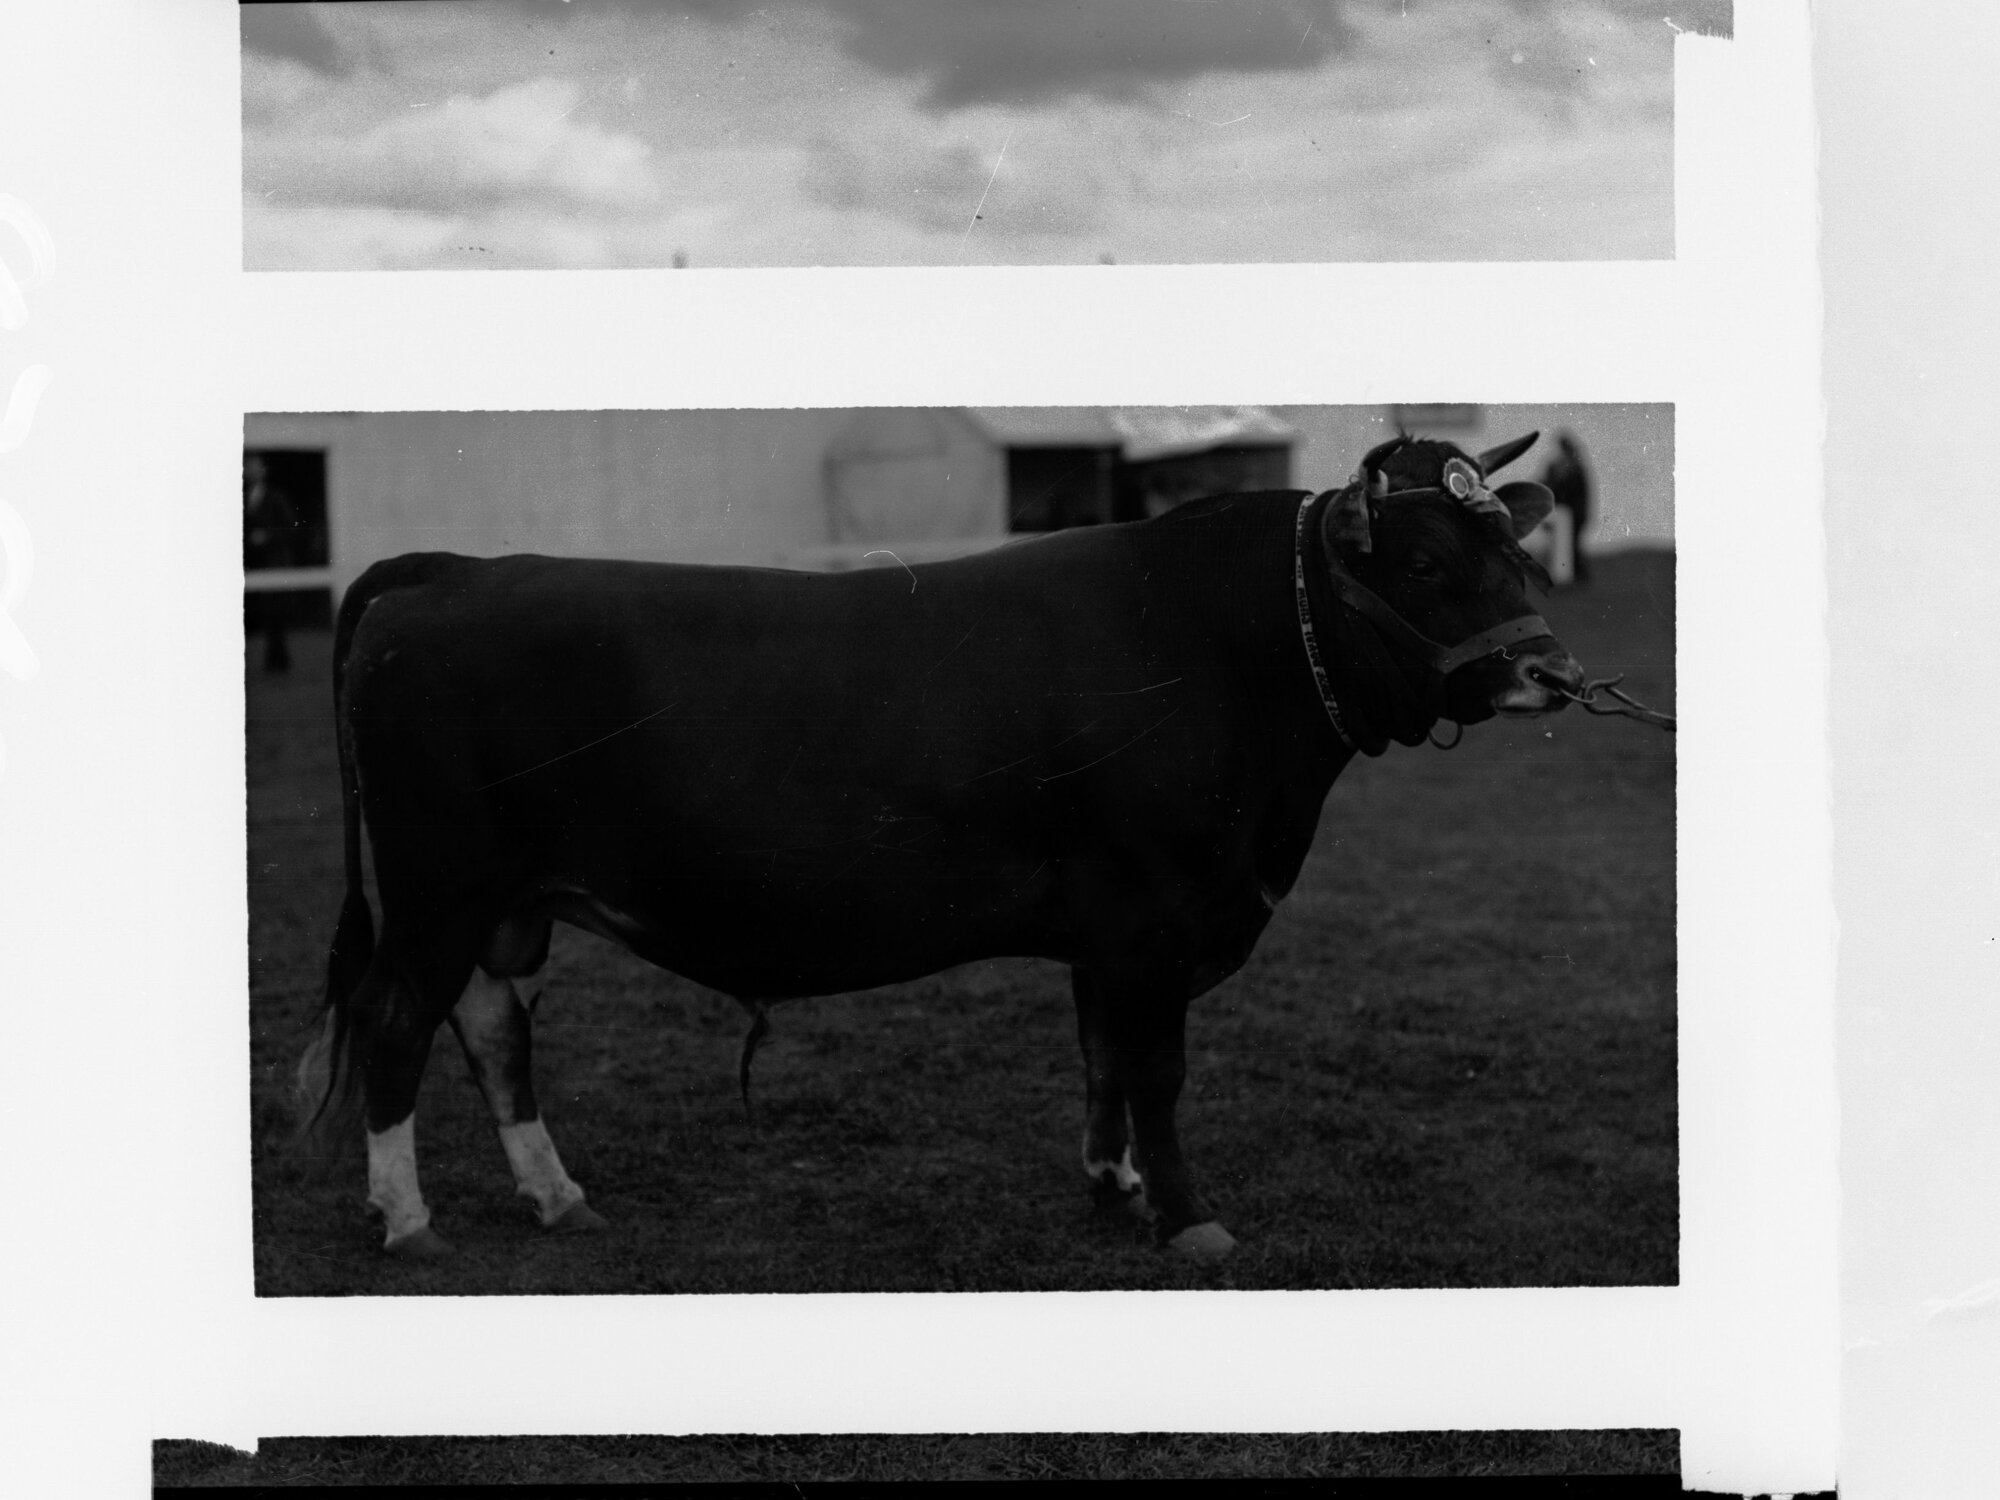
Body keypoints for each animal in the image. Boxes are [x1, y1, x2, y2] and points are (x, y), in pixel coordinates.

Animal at [295, 432, 1586, 1263]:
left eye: (1514, 557)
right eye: (1423, 563)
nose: (1553, 675)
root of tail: (450, 570)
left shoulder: (1108, 932)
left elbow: (1099, 1057)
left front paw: (1112, 1183)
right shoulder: (1152, 914)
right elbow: (1154, 1069)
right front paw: (1187, 1219)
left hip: (506, 906)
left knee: (492, 1031)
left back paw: (556, 1197)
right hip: (438, 890)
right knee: (398, 1022)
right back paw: (407, 1220)